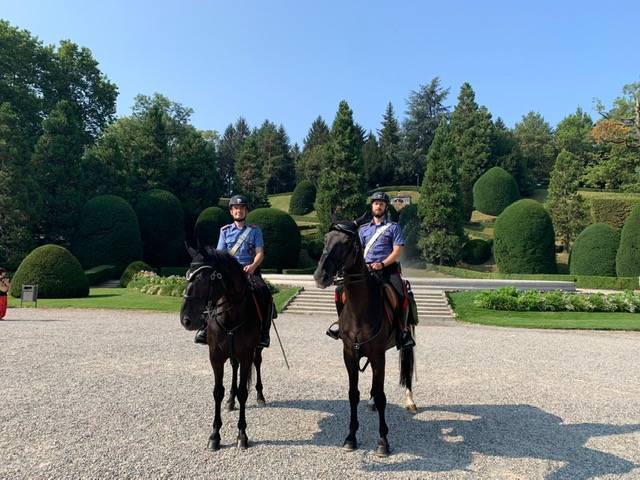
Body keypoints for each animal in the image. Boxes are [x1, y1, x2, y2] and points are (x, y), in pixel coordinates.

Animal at [179, 248, 264, 450]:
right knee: (234, 367)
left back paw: (260, 395)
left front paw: (242, 434)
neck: (231, 315)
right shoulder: (215, 356)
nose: (185, 319)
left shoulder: (246, 355)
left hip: (256, 350)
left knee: (257, 364)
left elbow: (243, 392)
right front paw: (215, 435)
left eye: (204, 279)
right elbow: (218, 392)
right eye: (187, 275)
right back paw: (230, 401)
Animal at [314, 218, 416, 458]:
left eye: (347, 243)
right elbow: (353, 394)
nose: (320, 276)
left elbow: (382, 396)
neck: (360, 308)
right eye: (326, 239)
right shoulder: (349, 354)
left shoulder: (379, 356)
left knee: (407, 368)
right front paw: (351, 437)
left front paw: (383, 441)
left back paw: (409, 399)